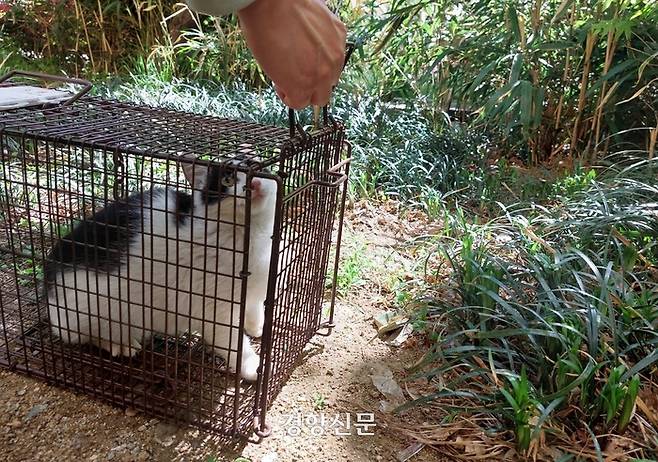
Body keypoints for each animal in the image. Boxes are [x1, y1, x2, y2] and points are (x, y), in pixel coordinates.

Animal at [43, 157, 274, 380]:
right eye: (227, 181)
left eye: (257, 167)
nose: (254, 183)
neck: (253, 233)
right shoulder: (214, 310)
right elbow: (234, 343)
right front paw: (252, 366)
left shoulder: (255, 290)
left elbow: (254, 307)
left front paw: (256, 326)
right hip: (89, 311)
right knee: (84, 335)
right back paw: (120, 344)